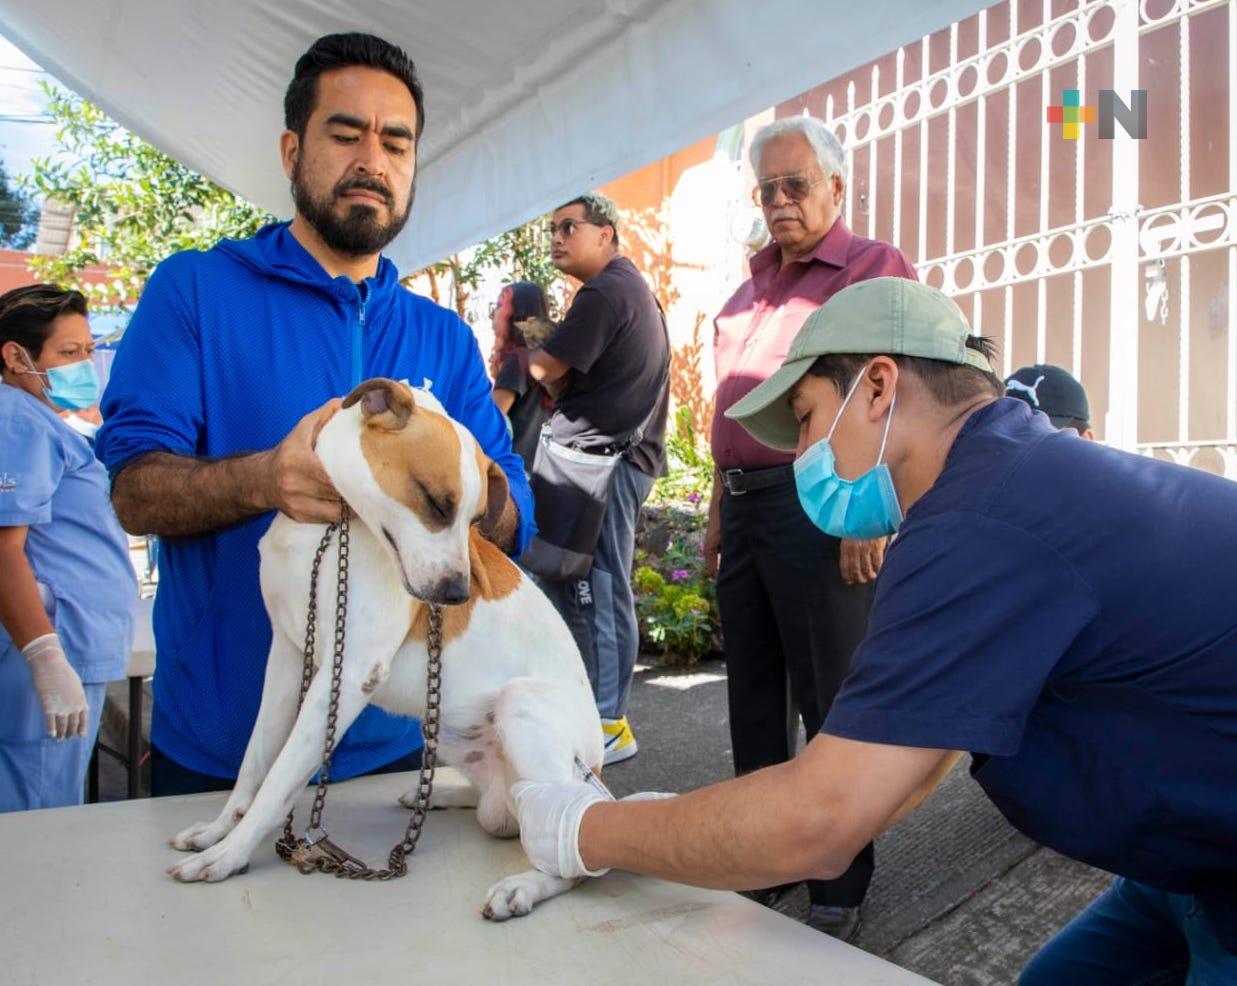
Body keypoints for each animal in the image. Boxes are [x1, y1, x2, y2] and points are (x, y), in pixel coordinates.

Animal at [168, 378, 603, 925]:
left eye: (478, 520)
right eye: (436, 504)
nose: (458, 593)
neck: (329, 530)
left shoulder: (349, 673)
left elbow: (280, 779)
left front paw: (228, 855)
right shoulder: (286, 657)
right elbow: (255, 763)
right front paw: (220, 831)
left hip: (521, 705)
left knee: (571, 845)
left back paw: (524, 884)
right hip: (444, 727)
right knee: (499, 808)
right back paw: (441, 793)